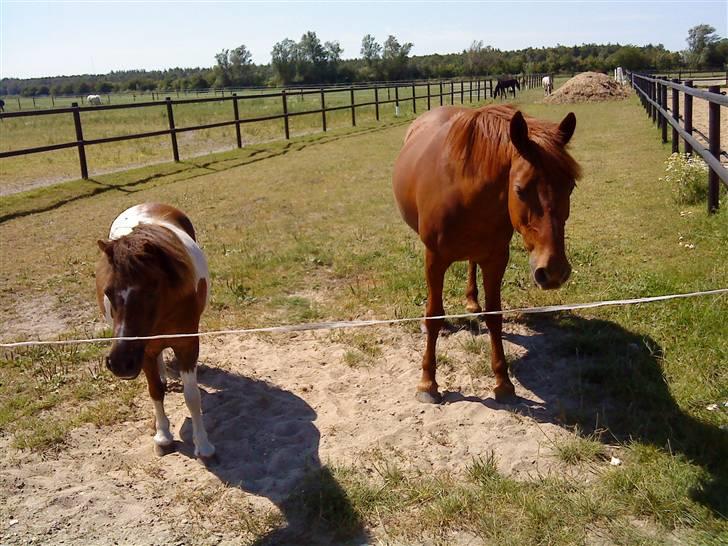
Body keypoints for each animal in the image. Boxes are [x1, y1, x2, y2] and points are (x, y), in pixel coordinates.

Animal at [94, 202, 213, 456]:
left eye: (151, 290)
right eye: (107, 292)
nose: (120, 363)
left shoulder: (187, 344)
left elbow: (192, 396)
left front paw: (203, 444)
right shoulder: (145, 350)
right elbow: (155, 391)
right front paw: (163, 436)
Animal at [392, 104, 580, 402]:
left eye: (570, 186)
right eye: (520, 190)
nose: (553, 271)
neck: (463, 191)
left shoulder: (496, 258)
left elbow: (494, 316)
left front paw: (503, 382)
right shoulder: (434, 258)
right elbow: (433, 316)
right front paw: (428, 383)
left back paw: (472, 301)